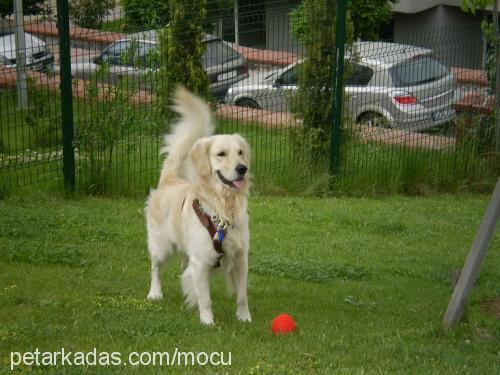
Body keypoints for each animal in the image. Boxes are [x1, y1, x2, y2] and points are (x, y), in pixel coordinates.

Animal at [146, 86, 252, 324]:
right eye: (221, 154)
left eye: (240, 152)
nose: (242, 168)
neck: (222, 205)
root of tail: (169, 179)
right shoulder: (202, 260)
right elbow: (205, 298)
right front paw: (207, 321)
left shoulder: (241, 257)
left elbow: (242, 294)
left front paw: (244, 318)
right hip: (161, 245)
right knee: (155, 269)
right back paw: (154, 293)